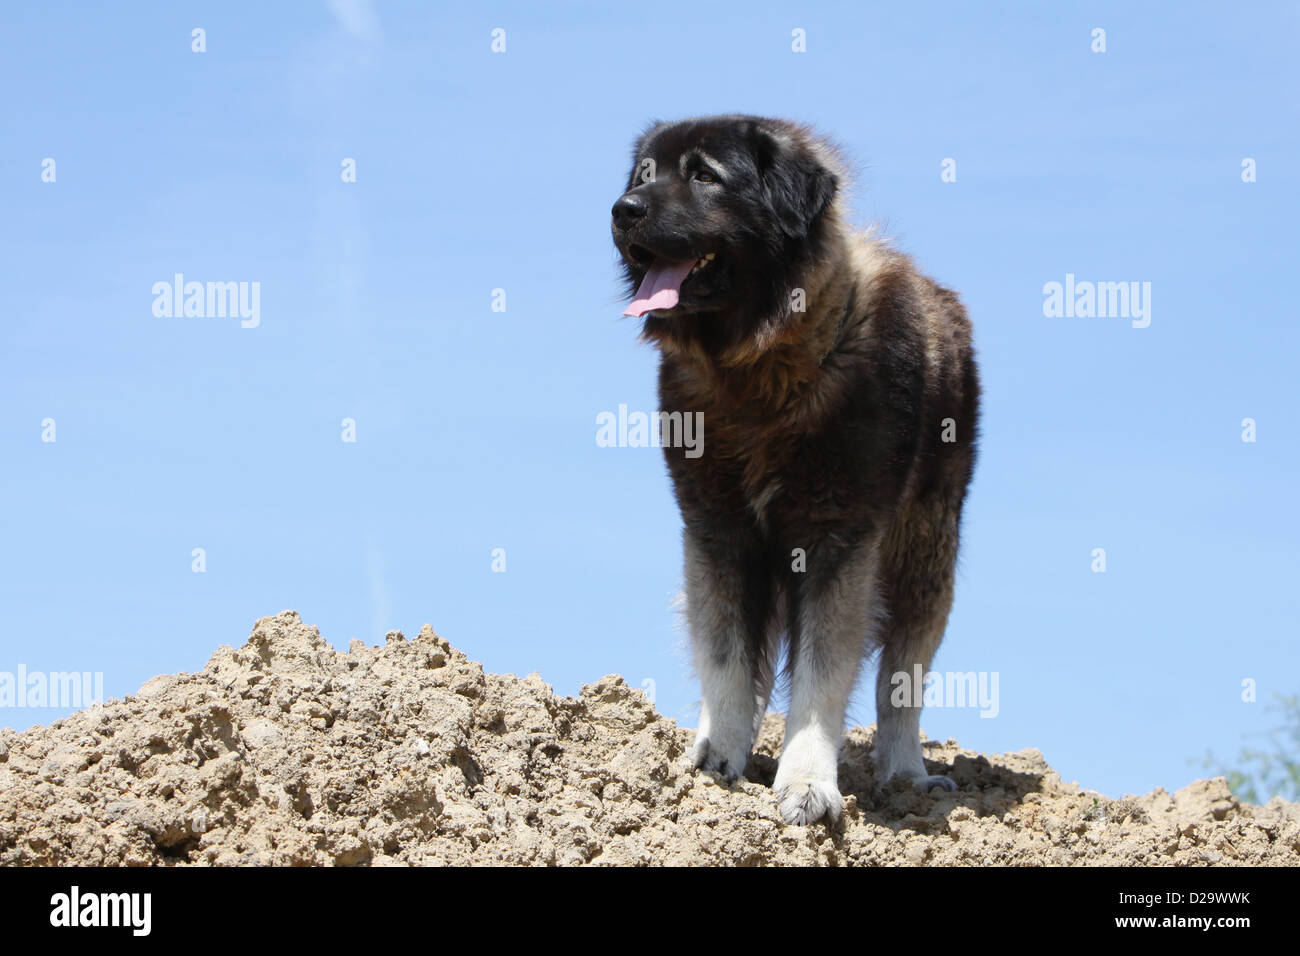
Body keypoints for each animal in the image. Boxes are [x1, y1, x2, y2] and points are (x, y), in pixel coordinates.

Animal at [613, 115, 977, 827]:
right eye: (644, 175)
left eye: (704, 176)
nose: (623, 210)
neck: (763, 367)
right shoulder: (718, 534)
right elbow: (727, 661)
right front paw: (718, 758)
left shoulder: (838, 544)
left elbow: (822, 679)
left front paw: (807, 782)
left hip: (925, 558)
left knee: (901, 680)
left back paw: (906, 775)